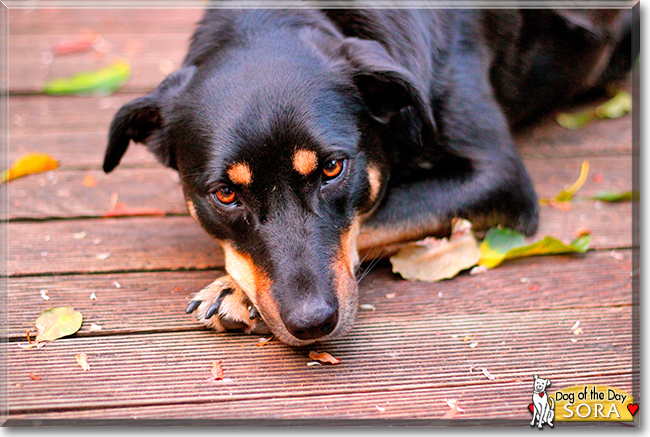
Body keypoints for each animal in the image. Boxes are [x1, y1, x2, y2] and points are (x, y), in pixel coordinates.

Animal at [102, 6, 632, 346]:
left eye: (332, 168)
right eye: (226, 194)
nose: (312, 324)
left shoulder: (496, 173)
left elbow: (376, 218)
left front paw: (231, 289)